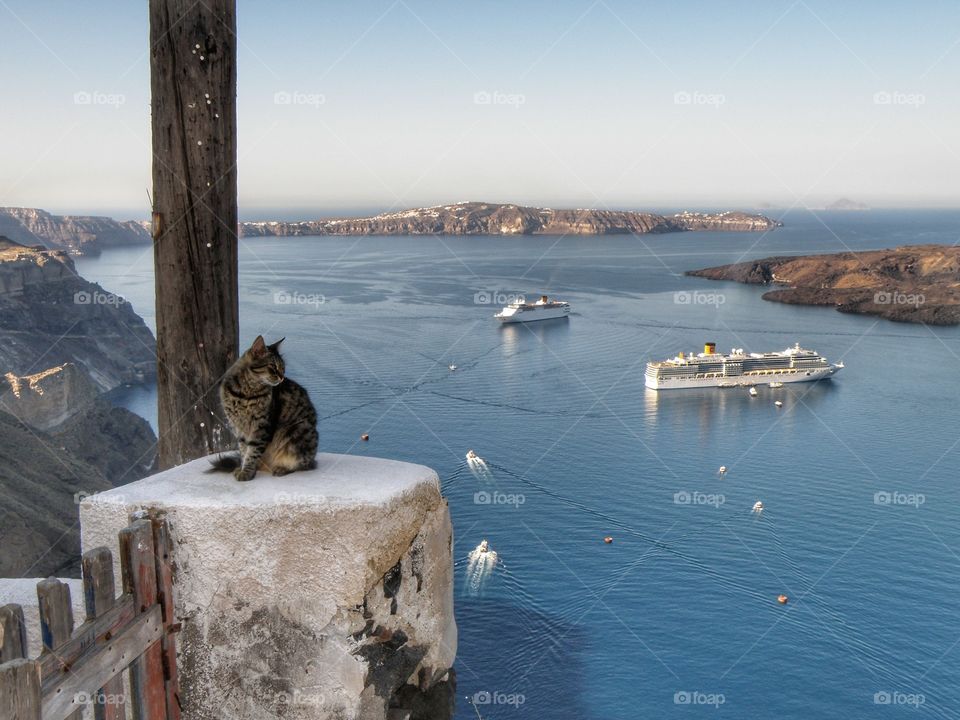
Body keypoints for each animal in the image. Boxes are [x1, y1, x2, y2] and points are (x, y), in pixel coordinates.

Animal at [214, 334, 318, 480]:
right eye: (273, 367)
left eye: (283, 368)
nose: (282, 378)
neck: (245, 394)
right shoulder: (238, 428)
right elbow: (244, 452)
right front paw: (243, 469)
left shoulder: (261, 427)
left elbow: (252, 453)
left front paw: (246, 472)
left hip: (297, 432)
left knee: (304, 465)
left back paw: (280, 468)